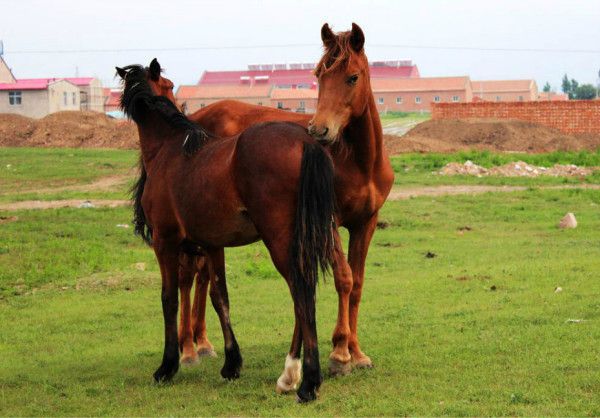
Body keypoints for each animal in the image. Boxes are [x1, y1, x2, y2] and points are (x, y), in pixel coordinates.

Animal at [115, 62, 338, 402]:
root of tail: (305, 141)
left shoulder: (165, 243)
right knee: (304, 291)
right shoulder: (212, 245)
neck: (171, 148)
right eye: (169, 84)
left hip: (280, 241)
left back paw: (307, 381)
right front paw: (232, 363)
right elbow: (220, 297)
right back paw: (291, 374)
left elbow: (169, 298)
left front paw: (167, 366)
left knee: (300, 291)